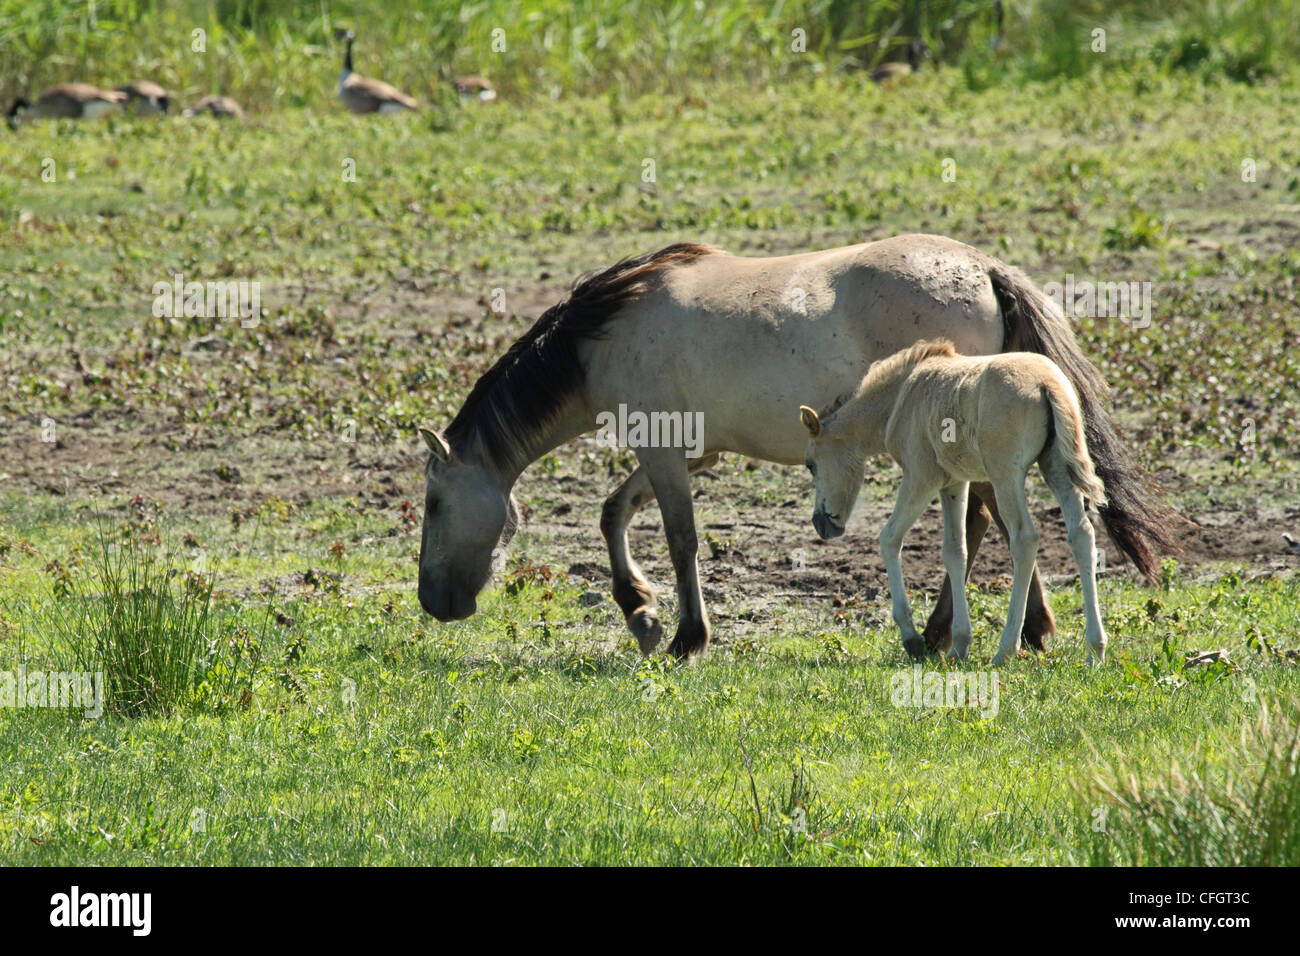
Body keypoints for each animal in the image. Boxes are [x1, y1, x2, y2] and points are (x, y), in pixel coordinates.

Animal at [799, 339, 1109, 665]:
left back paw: (1005, 650)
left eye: (811, 464)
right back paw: (1095, 650)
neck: (901, 396)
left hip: (1005, 475)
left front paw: (912, 639)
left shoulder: (921, 477)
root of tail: (1047, 383)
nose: (821, 524)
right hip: (1057, 467)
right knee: (1081, 535)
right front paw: (959, 644)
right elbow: (955, 552)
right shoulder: (954, 483)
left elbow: (889, 538)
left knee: (1024, 539)